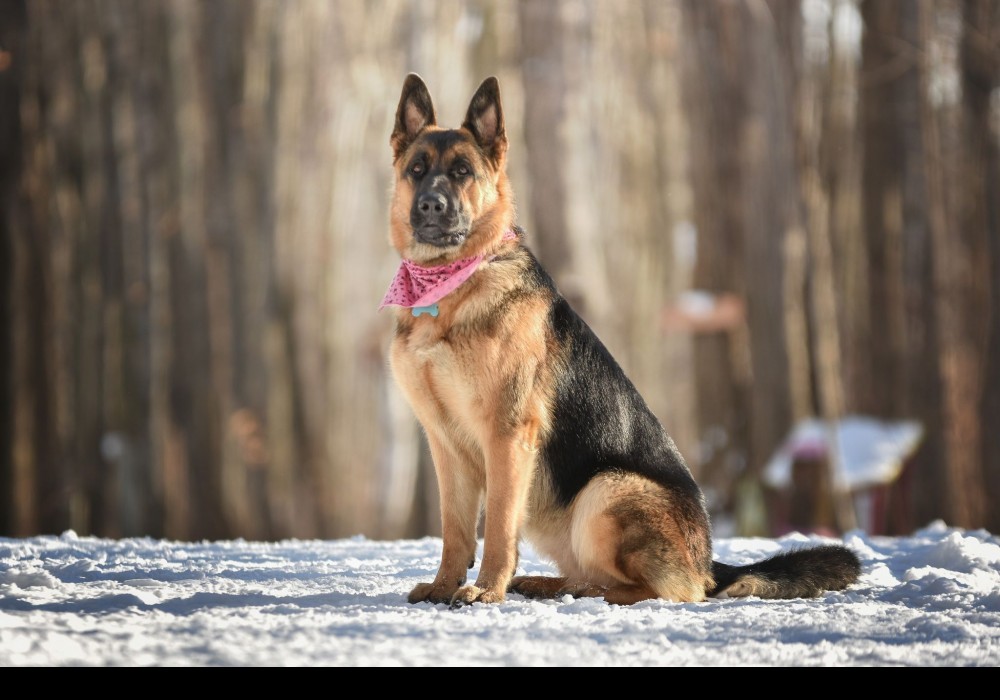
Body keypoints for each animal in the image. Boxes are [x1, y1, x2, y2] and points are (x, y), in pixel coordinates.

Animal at [380, 73, 861, 607]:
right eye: (417, 170)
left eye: (462, 171)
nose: (430, 204)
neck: (450, 290)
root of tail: (710, 564)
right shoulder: (444, 443)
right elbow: (456, 530)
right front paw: (445, 585)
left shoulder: (507, 435)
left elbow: (500, 527)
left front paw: (486, 590)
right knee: (597, 573)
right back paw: (548, 584)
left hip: (606, 489)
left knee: (666, 590)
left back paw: (593, 593)